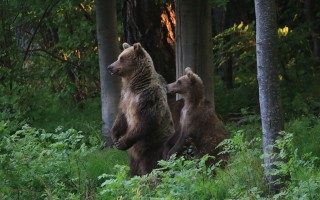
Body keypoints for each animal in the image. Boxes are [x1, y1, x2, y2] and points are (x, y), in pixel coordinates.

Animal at [107, 42, 174, 177]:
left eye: (121, 58)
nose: (109, 67)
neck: (135, 85)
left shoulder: (149, 98)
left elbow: (146, 121)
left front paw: (121, 142)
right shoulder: (125, 98)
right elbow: (121, 117)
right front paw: (114, 136)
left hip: (152, 146)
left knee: (151, 165)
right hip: (135, 155)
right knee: (133, 166)